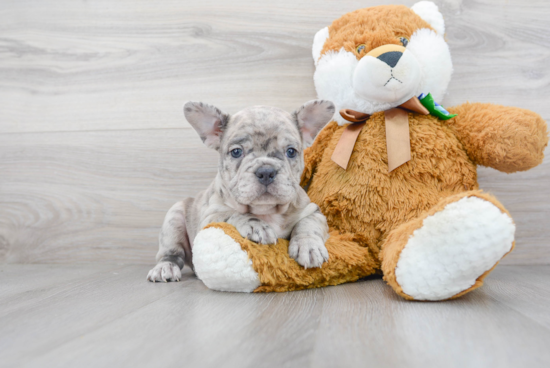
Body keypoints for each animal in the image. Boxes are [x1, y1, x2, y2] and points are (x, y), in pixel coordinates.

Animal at [148, 100, 336, 282]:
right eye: (236, 152)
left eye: (291, 151)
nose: (266, 171)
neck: (267, 211)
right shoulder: (210, 218)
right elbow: (232, 214)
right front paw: (256, 225)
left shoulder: (313, 211)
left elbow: (308, 224)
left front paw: (309, 246)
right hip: (174, 218)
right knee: (171, 254)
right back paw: (165, 268)